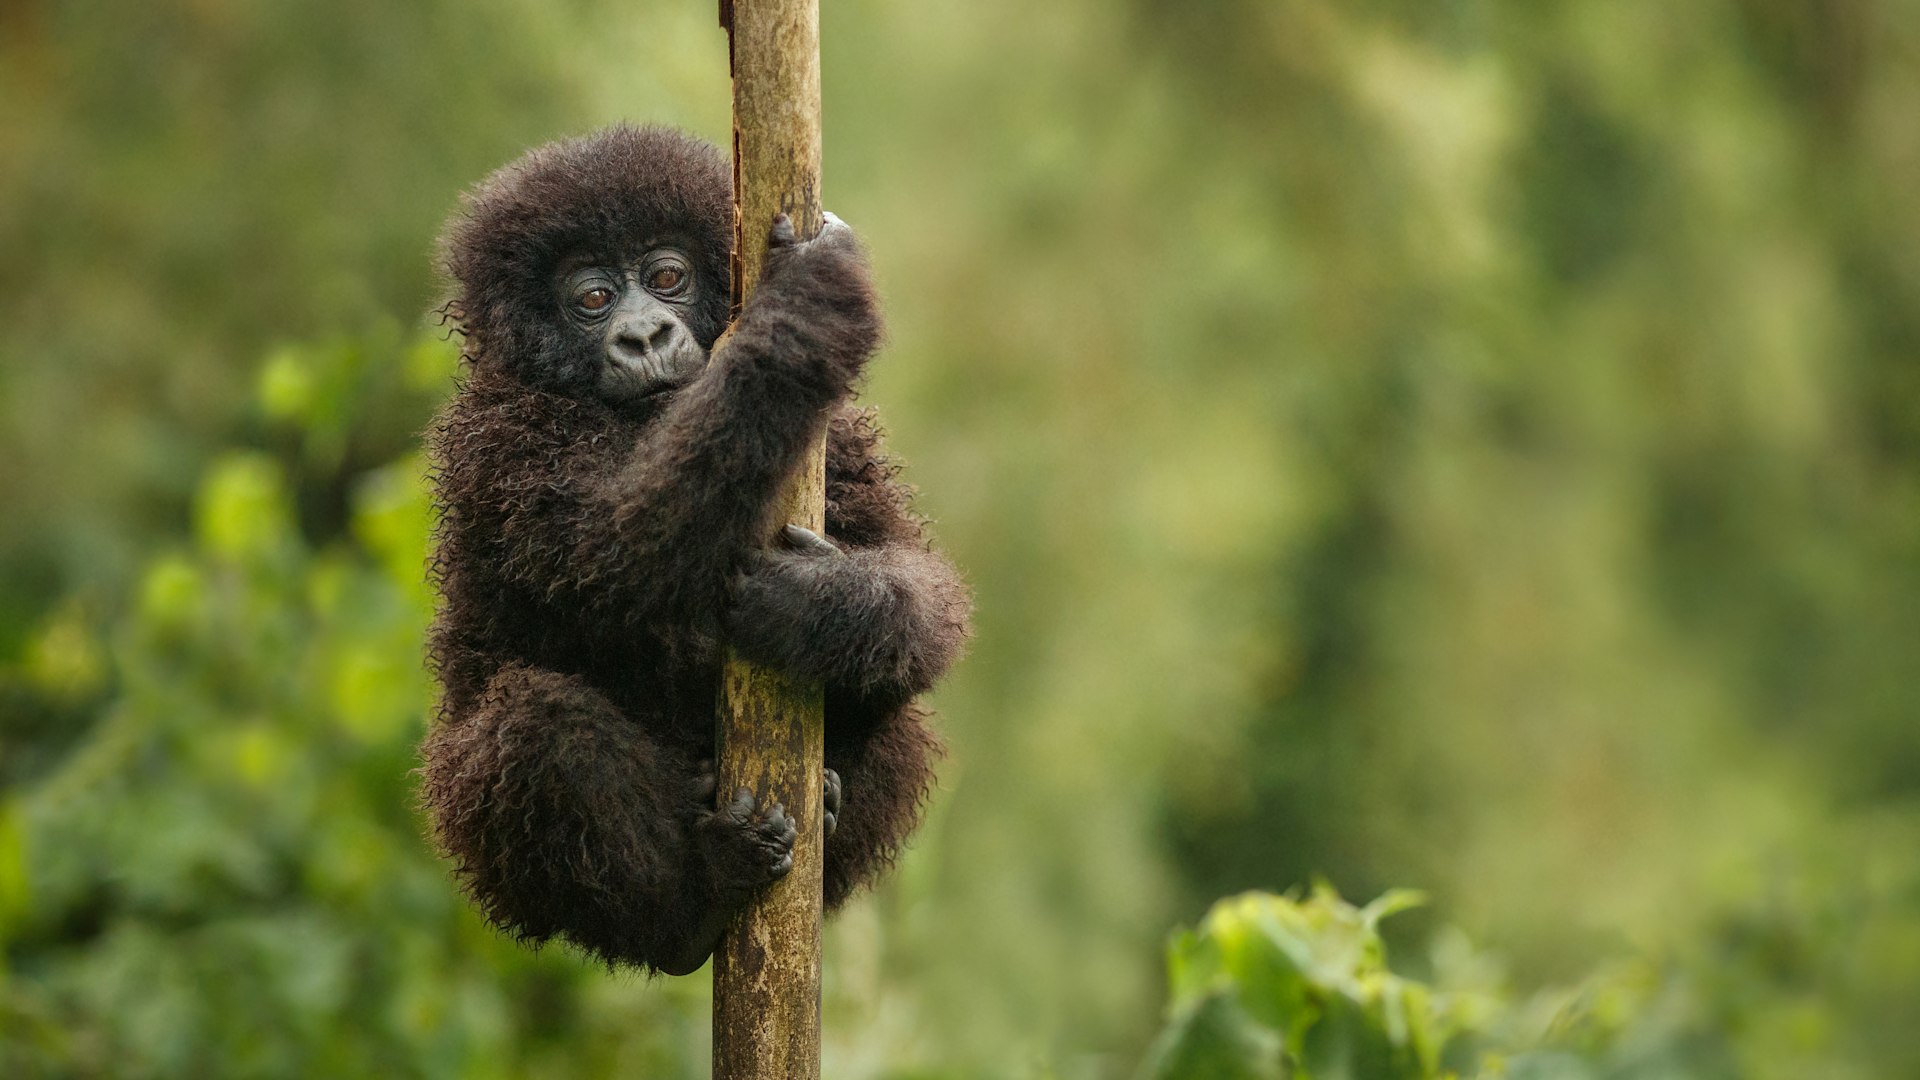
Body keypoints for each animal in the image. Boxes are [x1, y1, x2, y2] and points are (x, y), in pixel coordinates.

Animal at [418, 125, 970, 976]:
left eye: (667, 277)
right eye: (592, 298)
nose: (644, 334)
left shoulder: (838, 436)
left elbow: (917, 583)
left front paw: (818, 607)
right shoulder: (498, 442)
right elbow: (619, 550)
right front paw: (804, 307)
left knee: (900, 708)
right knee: (535, 727)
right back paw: (690, 906)